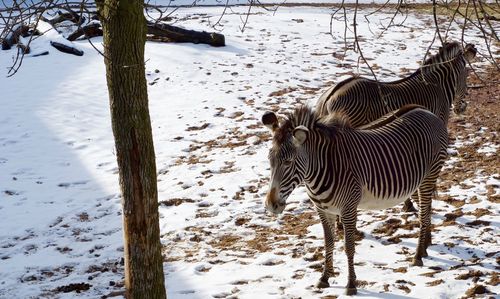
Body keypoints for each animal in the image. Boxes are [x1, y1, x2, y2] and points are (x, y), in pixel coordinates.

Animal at [262, 105, 450, 296]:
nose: (270, 205)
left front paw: (351, 284)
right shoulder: (323, 210)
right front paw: (325, 277)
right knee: (427, 211)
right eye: (270, 161)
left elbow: (349, 246)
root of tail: (426, 112)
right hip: (420, 181)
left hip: (429, 176)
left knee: (423, 215)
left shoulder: (348, 208)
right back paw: (425, 247)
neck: (322, 167)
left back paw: (418, 255)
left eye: (288, 162)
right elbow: (328, 242)